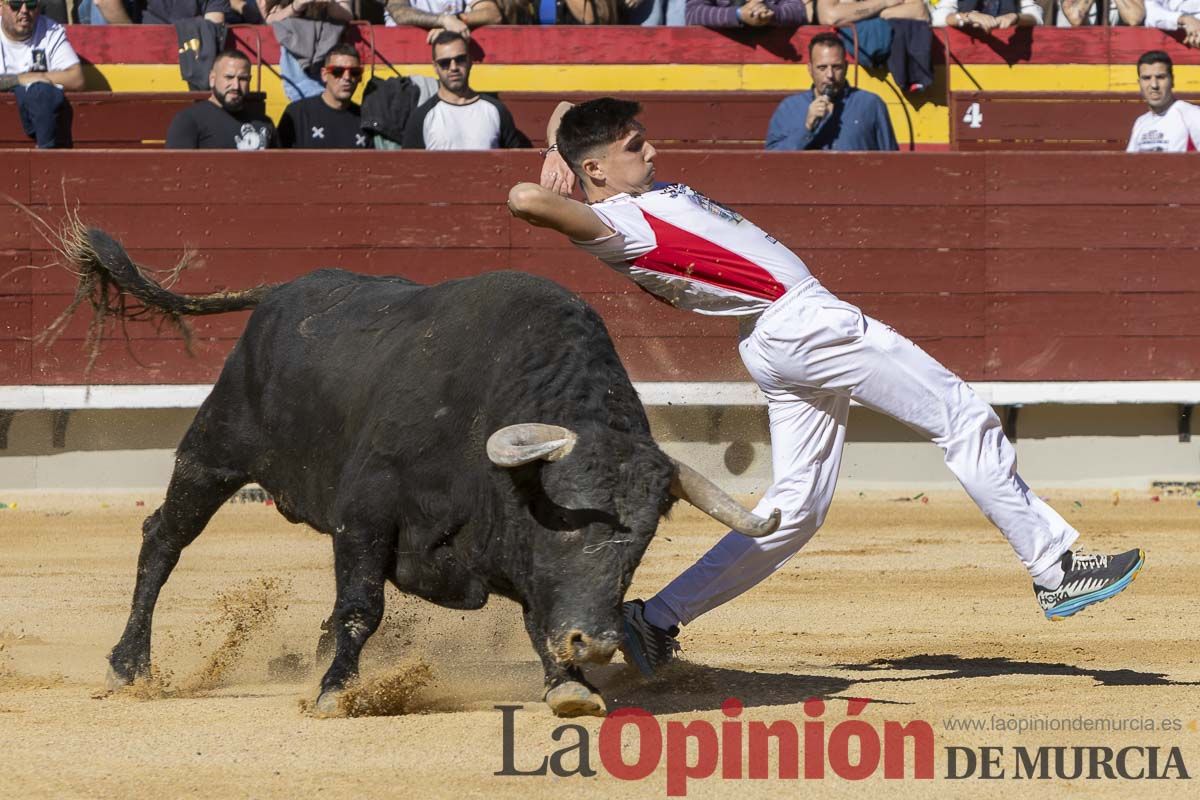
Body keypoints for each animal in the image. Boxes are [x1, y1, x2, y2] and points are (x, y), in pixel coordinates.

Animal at [77, 227, 777, 714]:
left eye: (642, 542)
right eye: (568, 523)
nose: (597, 643)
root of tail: (280, 292)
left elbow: (537, 614)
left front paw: (569, 686)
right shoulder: (365, 515)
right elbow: (362, 605)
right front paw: (335, 692)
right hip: (214, 450)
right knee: (164, 539)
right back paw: (130, 665)